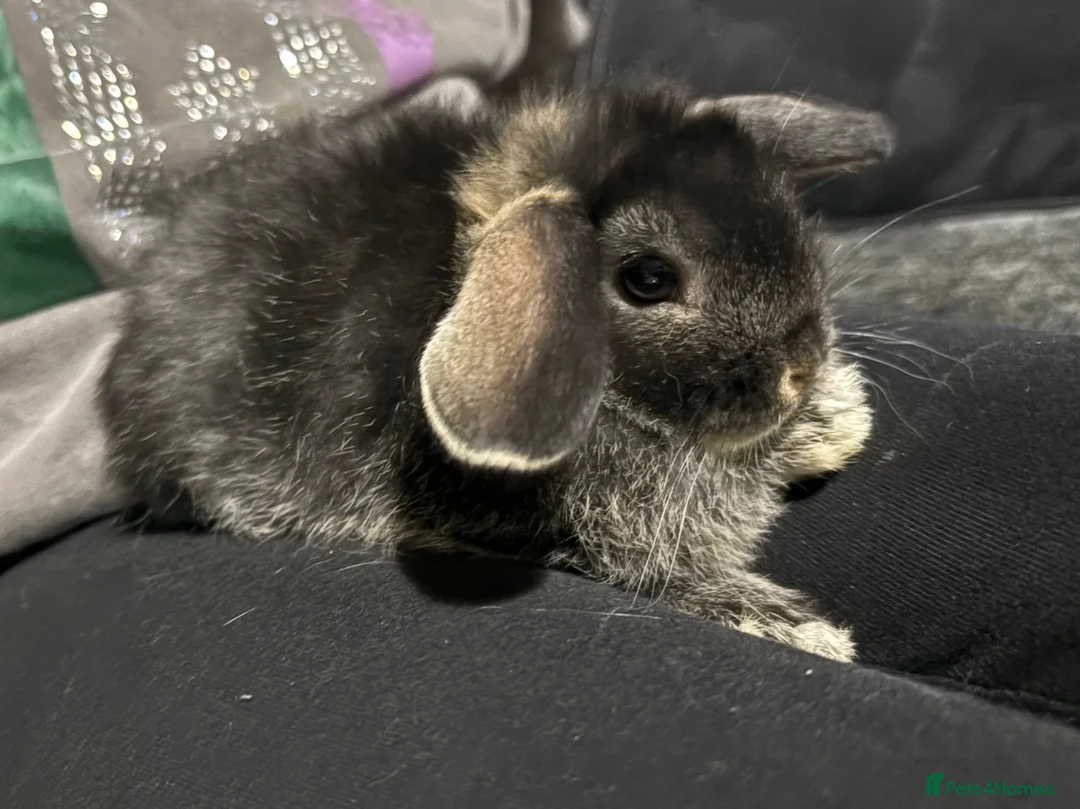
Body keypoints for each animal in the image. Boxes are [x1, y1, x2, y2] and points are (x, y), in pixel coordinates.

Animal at [100, 77, 895, 662]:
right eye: (647, 279)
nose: (801, 366)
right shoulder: (554, 535)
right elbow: (644, 572)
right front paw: (796, 627)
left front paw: (838, 420)